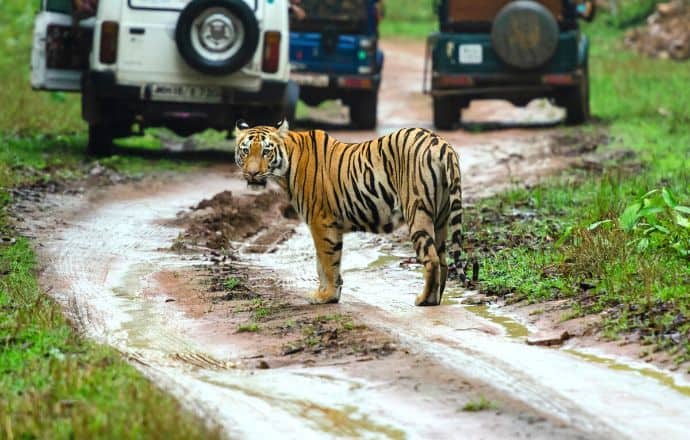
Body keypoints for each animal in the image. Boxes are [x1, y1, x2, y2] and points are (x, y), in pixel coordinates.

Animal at [234, 119, 464, 306]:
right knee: (443, 259)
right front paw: (326, 293)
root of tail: (441, 144)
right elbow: (322, 262)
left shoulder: (321, 222)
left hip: (417, 211)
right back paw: (437, 298)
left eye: (266, 151)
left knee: (431, 258)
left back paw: (425, 300)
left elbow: (327, 261)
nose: (252, 173)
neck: (286, 168)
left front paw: (326, 296)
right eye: (245, 151)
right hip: (441, 217)